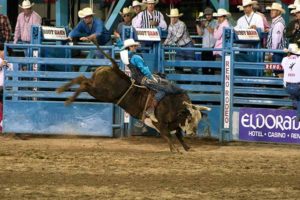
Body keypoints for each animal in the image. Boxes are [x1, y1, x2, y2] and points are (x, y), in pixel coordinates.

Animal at [56, 45, 211, 152]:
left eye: (198, 119)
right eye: (189, 118)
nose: (193, 133)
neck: (173, 104)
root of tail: (114, 68)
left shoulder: (174, 124)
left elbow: (178, 134)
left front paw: (187, 147)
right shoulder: (158, 123)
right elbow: (168, 135)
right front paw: (175, 149)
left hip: (98, 88)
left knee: (81, 78)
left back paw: (63, 90)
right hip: (100, 92)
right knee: (83, 83)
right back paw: (67, 97)